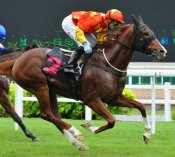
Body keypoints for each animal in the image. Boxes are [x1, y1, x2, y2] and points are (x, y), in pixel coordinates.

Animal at [0, 15, 167, 151]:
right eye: (145, 33)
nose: (162, 51)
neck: (108, 64)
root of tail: (17, 60)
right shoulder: (90, 99)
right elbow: (112, 120)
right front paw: (89, 127)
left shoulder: (114, 98)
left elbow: (141, 107)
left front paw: (147, 135)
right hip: (39, 87)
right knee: (46, 114)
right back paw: (76, 132)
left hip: (50, 90)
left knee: (54, 117)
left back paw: (78, 143)